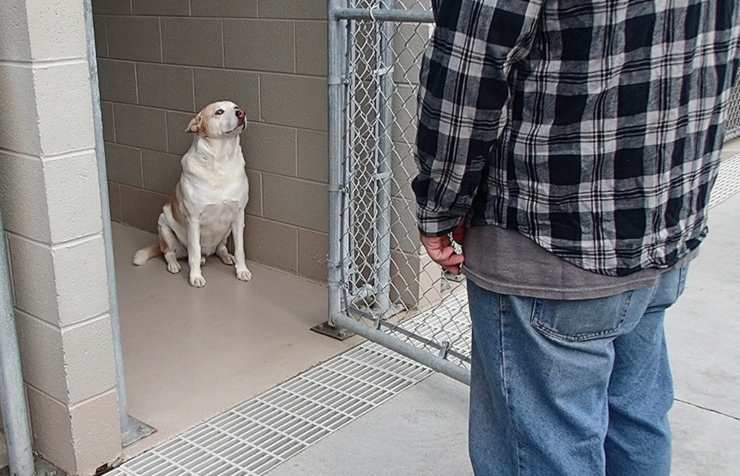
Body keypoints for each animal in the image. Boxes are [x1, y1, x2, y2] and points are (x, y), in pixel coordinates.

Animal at [132, 100, 250, 286]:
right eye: (219, 112)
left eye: (236, 107)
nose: (242, 113)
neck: (221, 161)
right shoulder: (193, 219)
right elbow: (194, 251)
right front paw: (195, 277)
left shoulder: (239, 215)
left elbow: (240, 250)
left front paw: (242, 270)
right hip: (164, 223)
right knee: (170, 253)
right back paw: (175, 265)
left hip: (226, 231)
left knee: (221, 248)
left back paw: (226, 257)